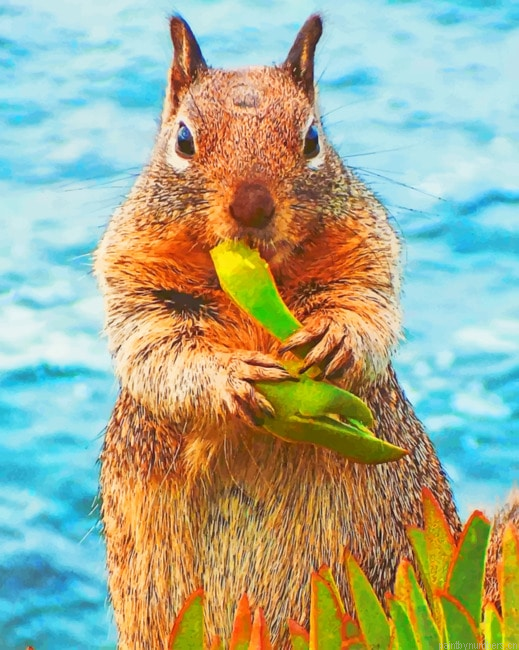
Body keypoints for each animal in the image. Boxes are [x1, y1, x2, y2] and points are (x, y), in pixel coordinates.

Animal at [94, 14, 514, 649]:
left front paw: (334, 338)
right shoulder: (134, 277)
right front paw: (232, 377)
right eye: (184, 140)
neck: (258, 276)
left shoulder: (368, 249)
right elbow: (157, 348)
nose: (252, 206)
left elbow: (368, 306)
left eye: (313, 138)